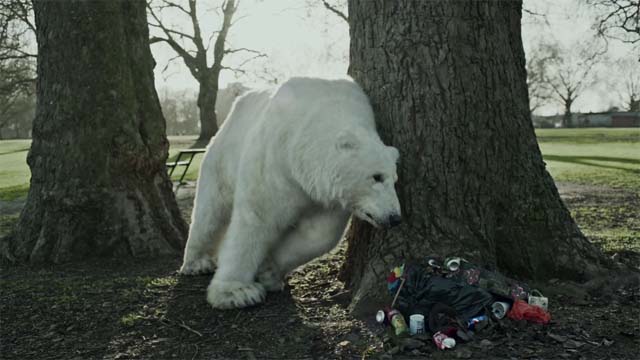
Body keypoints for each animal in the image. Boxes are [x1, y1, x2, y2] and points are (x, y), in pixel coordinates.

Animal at [179, 77, 400, 308]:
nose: (394, 217)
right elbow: (257, 219)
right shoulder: (276, 161)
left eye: (395, 179)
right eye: (376, 177)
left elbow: (320, 232)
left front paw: (269, 272)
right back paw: (196, 263)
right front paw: (236, 292)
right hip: (222, 156)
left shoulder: (324, 194)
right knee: (210, 212)